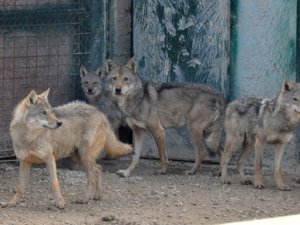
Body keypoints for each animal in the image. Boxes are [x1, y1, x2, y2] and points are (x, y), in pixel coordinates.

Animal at [0, 89, 132, 208]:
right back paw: (97, 195)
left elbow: (54, 184)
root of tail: (100, 113)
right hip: (80, 158)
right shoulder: (24, 162)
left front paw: (59, 203)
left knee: (92, 178)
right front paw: (11, 203)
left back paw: (84, 199)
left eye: (51, 112)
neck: (29, 138)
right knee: (98, 168)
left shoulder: (50, 159)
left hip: (85, 158)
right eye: (43, 112)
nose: (59, 123)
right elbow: (20, 187)